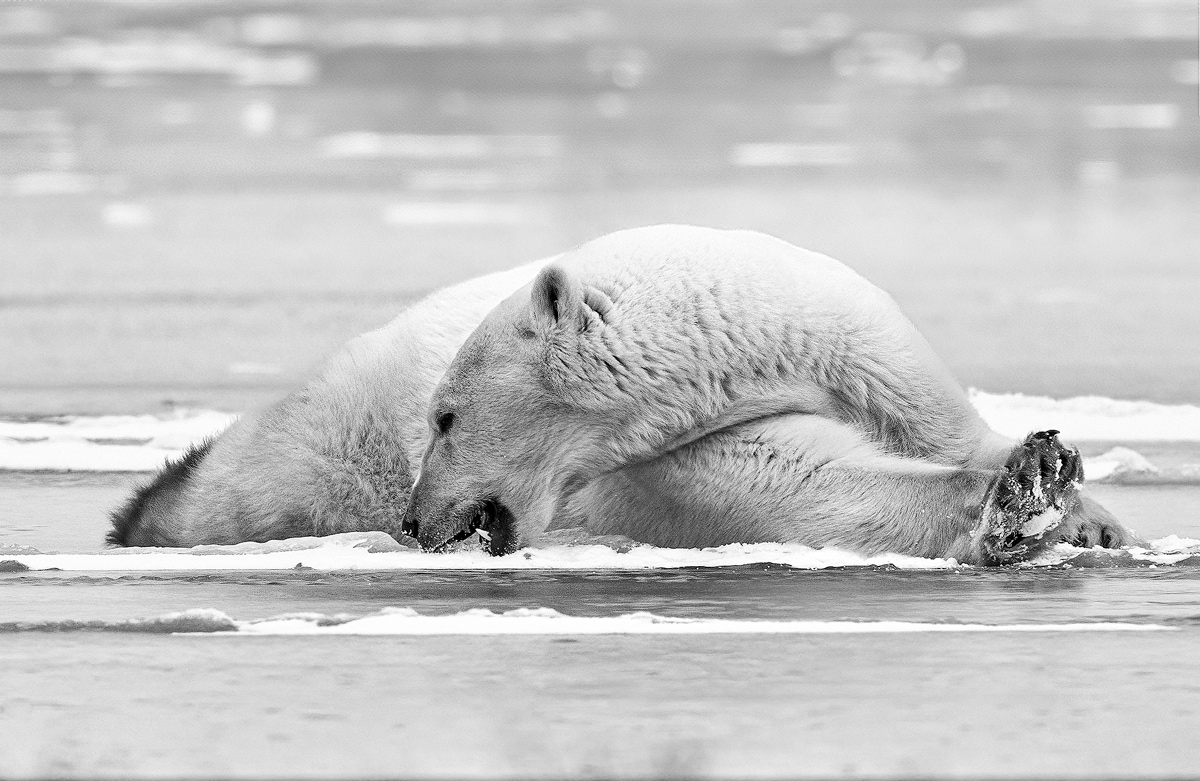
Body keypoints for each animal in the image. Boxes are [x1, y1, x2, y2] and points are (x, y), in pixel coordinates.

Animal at [402, 225, 1133, 565]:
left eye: (446, 418)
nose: (413, 520)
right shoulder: (670, 467)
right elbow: (811, 485)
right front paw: (1019, 495)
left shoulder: (875, 361)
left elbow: (951, 433)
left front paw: (1077, 503)